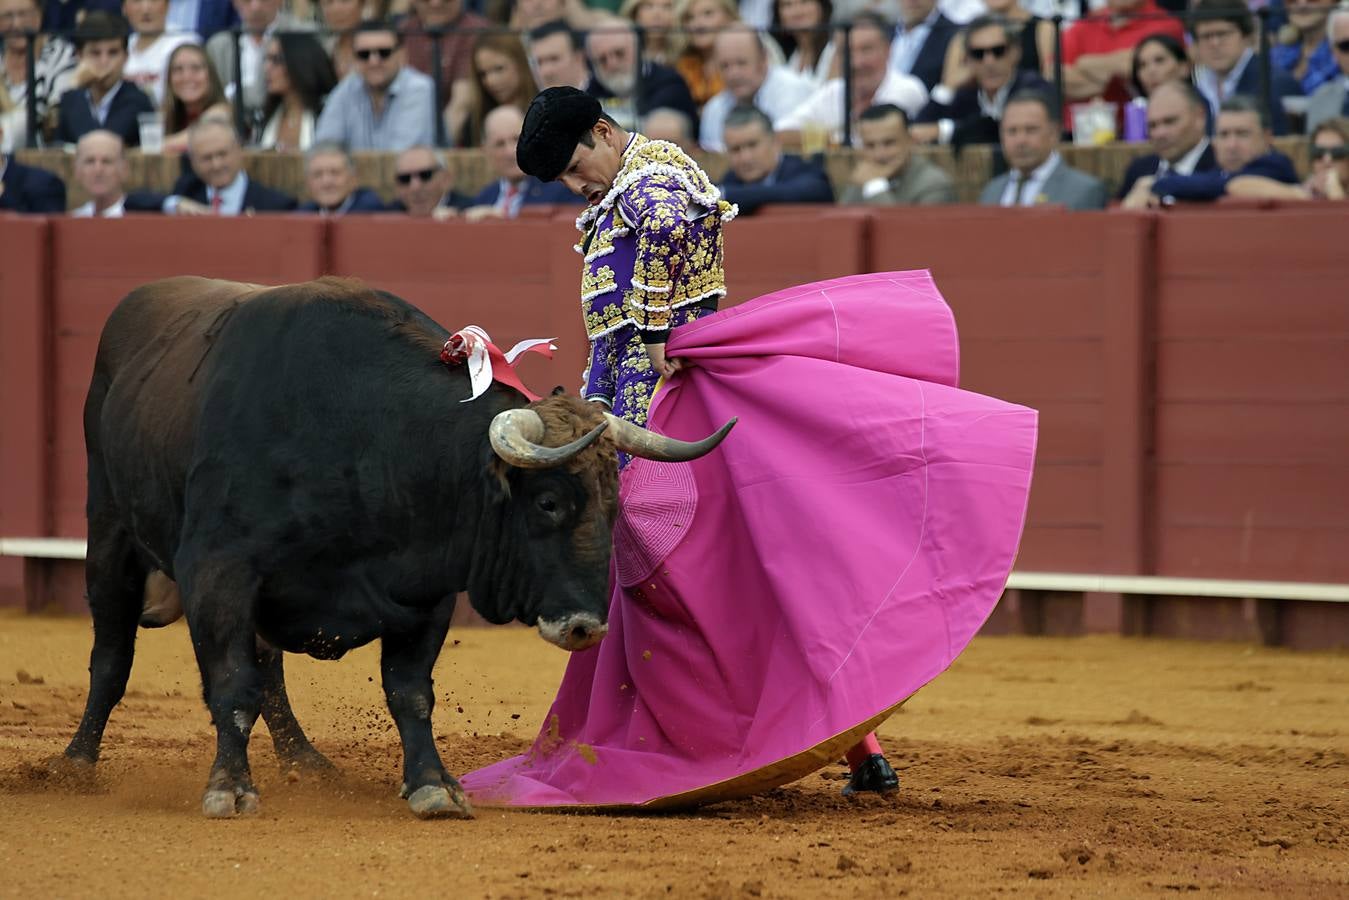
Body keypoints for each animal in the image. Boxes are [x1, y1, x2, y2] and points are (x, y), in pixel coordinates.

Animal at [60, 277, 739, 820]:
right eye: (547, 502)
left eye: (613, 502)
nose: (585, 628)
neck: (366, 436)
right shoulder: (220, 571)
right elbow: (230, 683)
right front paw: (228, 790)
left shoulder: (424, 590)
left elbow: (410, 692)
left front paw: (434, 787)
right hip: (109, 530)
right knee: (112, 656)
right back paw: (74, 764)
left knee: (270, 671)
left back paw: (306, 762)